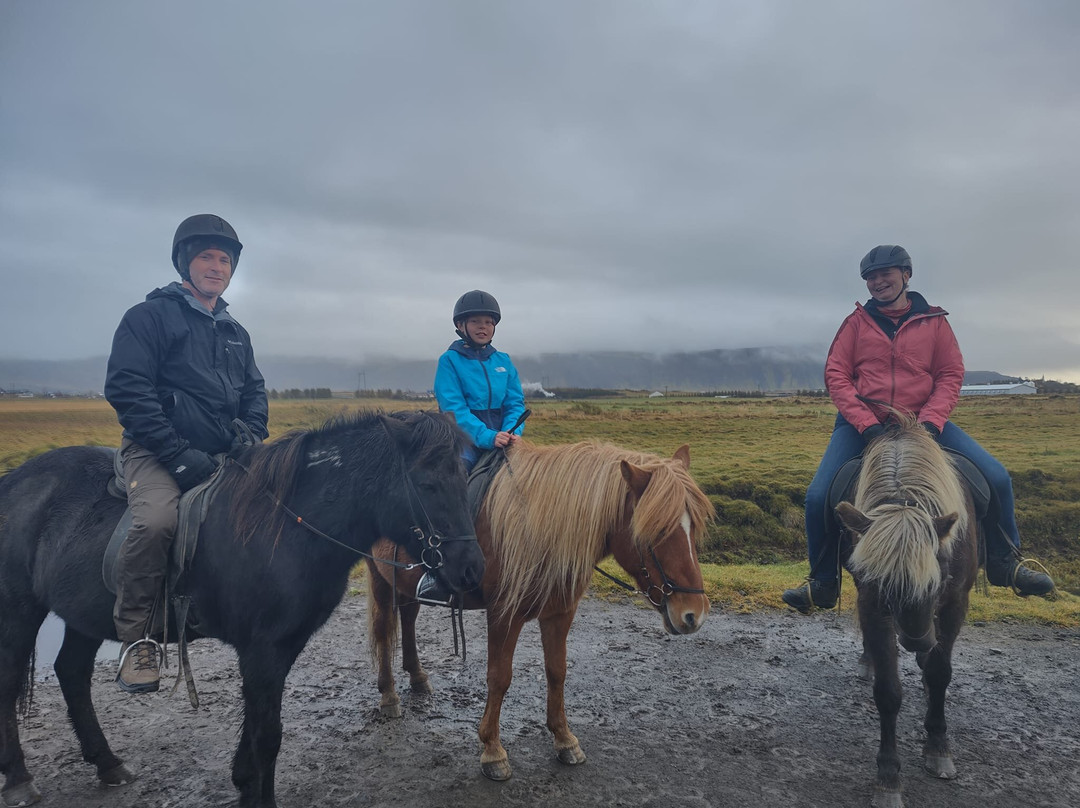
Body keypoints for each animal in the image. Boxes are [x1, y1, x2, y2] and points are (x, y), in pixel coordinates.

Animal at [0, 410, 481, 808]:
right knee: (12, 683)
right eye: (428, 484)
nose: (471, 569)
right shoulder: (261, 650)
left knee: (71, 673)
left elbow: (257, 727)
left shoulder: (279, 647)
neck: (287, 526)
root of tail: (16, 479)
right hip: (19, 611)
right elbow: (268, 734)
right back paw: (20, 779)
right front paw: (258, 796)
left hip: (82, 615)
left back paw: (107, 763)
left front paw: (244, 783)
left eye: (464, 479)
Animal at [365, 438, 717, 777]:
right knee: (384, 628)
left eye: (694, 527)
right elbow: (499, 677)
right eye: (658, 531)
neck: (536, 524)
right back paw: (389, 695)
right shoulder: (504, 615)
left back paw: (417, 677)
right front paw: (492, 750)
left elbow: (557, 672)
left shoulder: (559, 614)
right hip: (379, 576)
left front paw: (564, 739)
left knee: (408, 617)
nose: (694, 613)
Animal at [833, 416, 980, 808]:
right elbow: (888, 692)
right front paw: (888, 780)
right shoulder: (872, 606)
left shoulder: (954, 602)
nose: (916, 639)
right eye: (879, 581)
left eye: (939, 565)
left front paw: (938, 748)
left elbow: (940, 672)